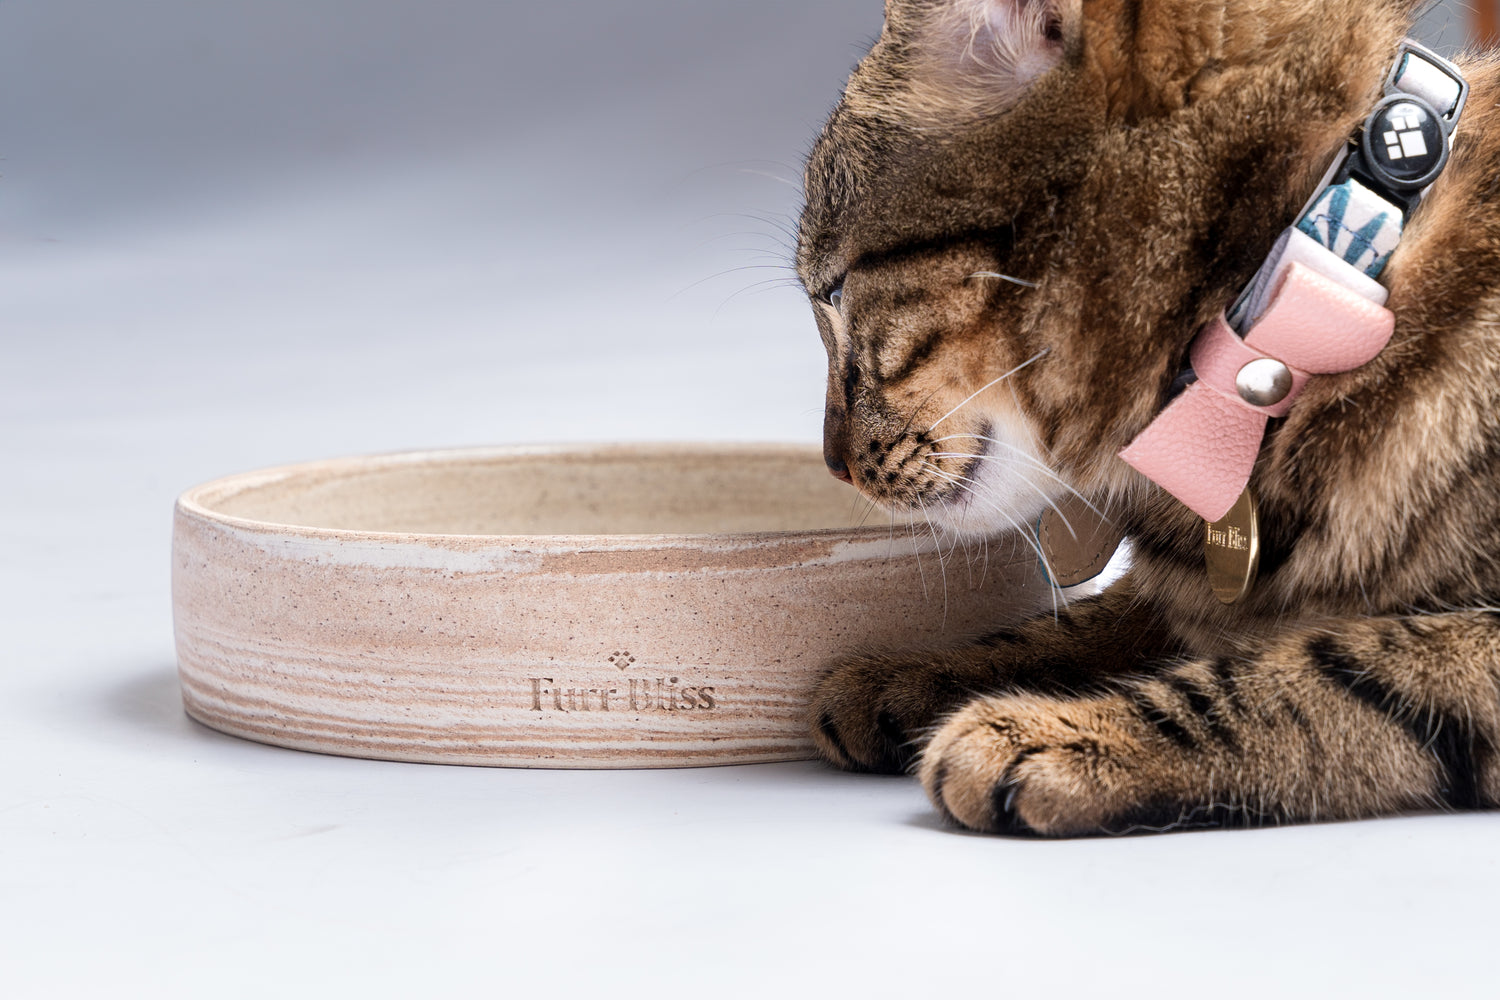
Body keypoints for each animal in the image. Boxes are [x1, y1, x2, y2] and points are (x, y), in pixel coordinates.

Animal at [804, 0, 1500, 839]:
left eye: (835, 296)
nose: (831, 461)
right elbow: (1079, 620)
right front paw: (921, 669)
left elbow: (1324, 672)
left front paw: (1063, 733)